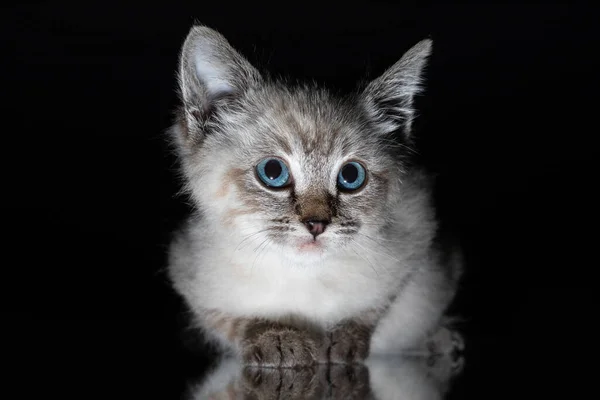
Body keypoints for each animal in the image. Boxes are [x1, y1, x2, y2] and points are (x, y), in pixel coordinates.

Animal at [169, 25, 464, 368]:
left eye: (351, 176)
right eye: (273, 172)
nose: (316, 225)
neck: (302, 275)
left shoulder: (418, 232)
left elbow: (370, 310)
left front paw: (341, 340)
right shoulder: (188, 273)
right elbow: (232, 320)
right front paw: (277, 339)